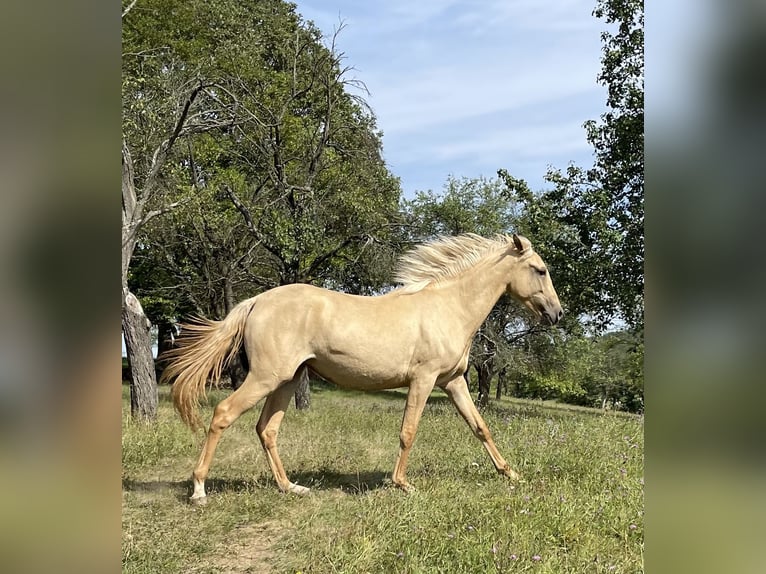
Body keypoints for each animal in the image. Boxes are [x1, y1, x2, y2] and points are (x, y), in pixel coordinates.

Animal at [162, 234, 560, 504]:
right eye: (540, 270)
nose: (557, 314)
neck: (449, 306)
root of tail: (257, 300)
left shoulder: (453, 382)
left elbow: (480, 427)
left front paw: (511, 474)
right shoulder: (424, 379)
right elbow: (408, 431)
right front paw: (402, 484)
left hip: (287, 380)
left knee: (267, 429)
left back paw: (291, 487)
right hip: (264, 377)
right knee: (223, 414)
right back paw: (199, 489)